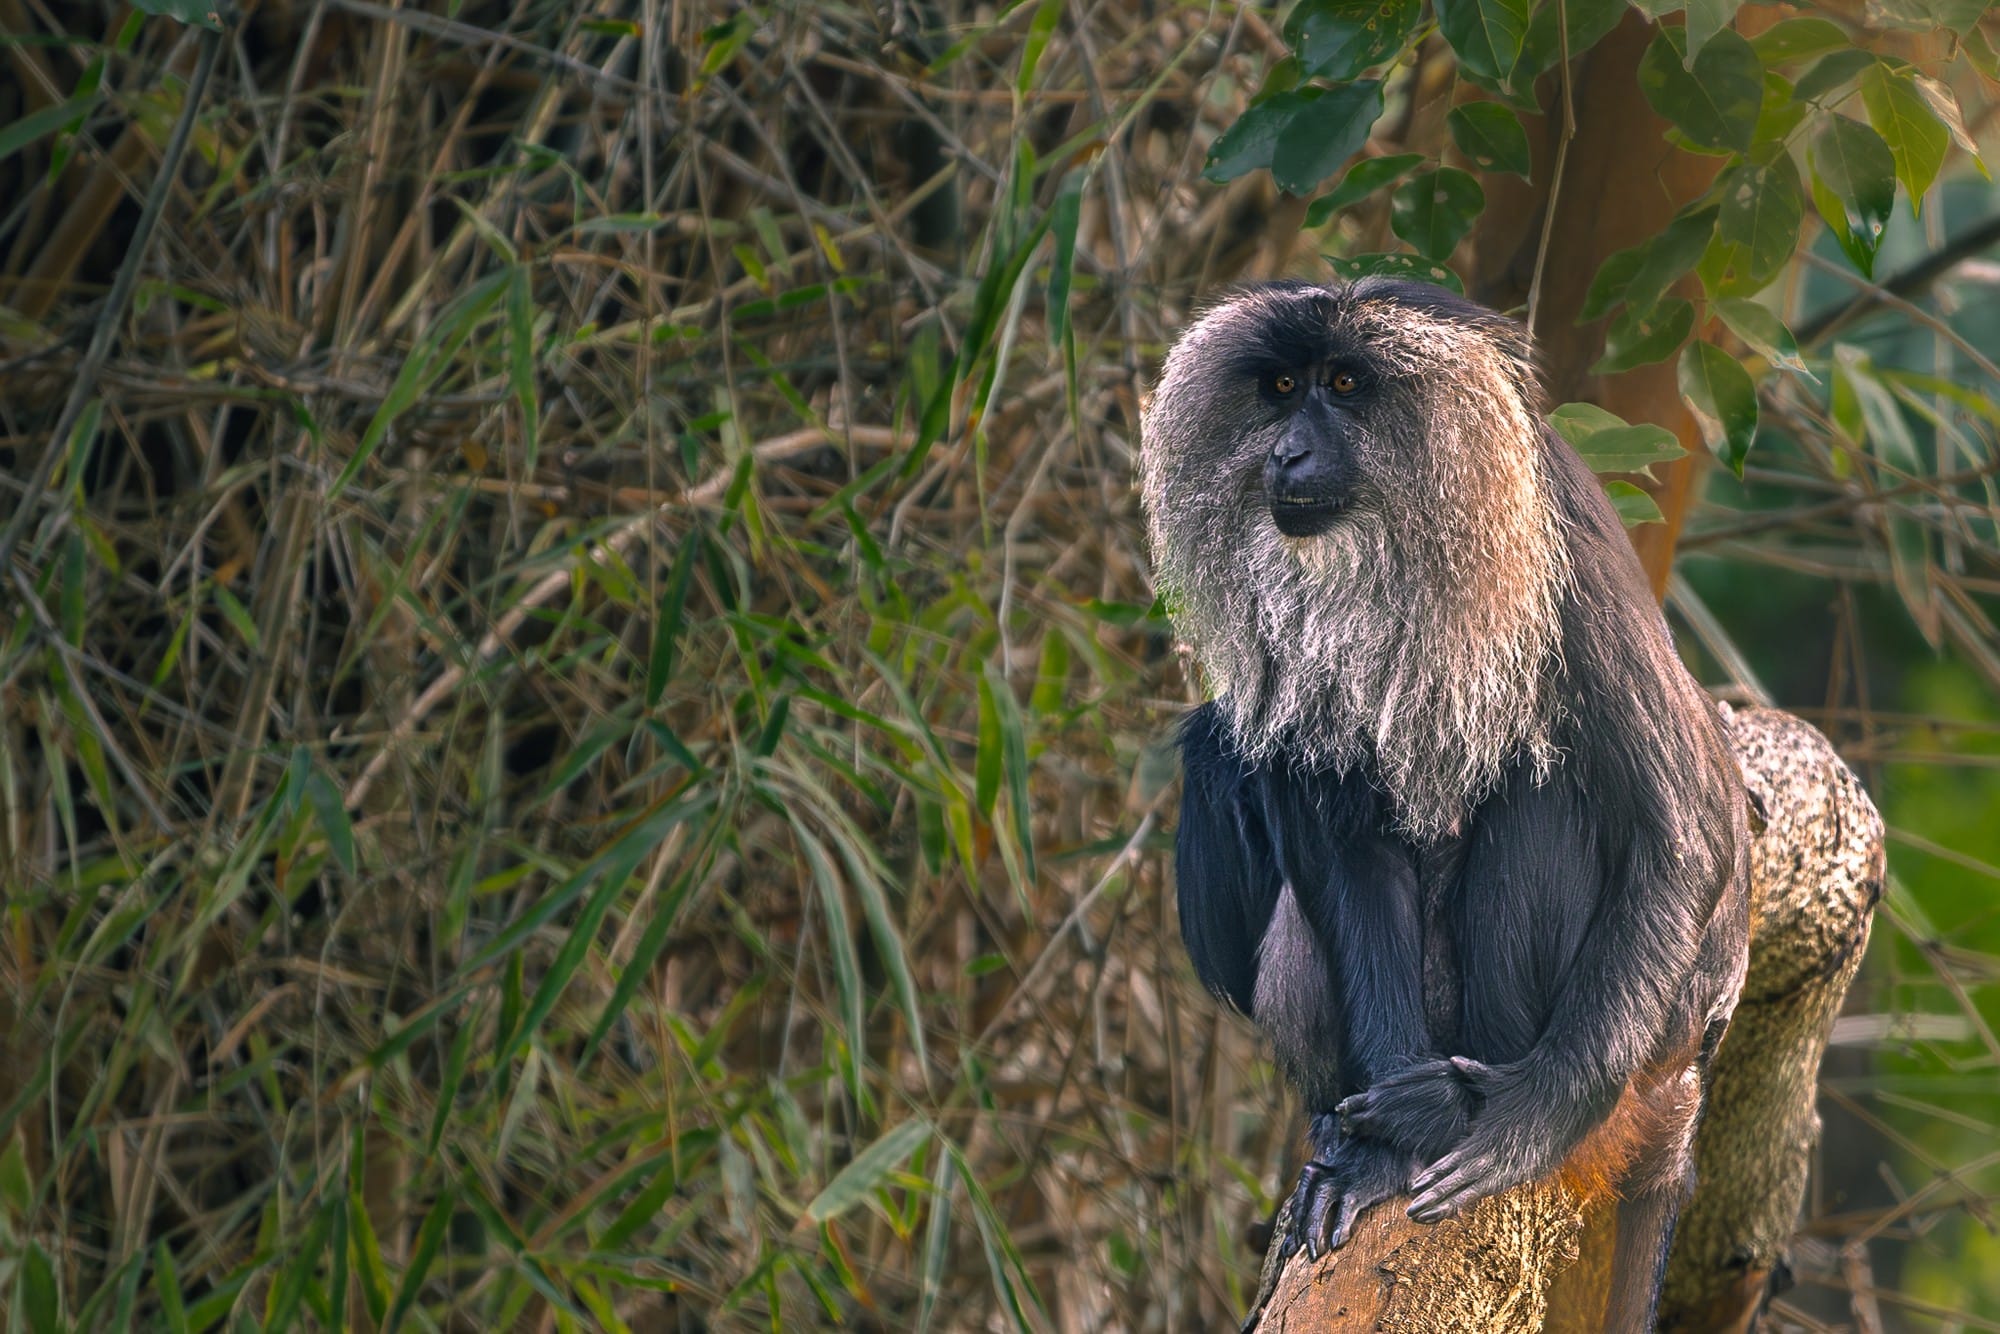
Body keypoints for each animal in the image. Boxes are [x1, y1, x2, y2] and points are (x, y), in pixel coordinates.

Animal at [1139, 279, 1751, 1331]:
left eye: (1345, 386)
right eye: (1282, 389)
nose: (1285, 453)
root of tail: (1677, 1077)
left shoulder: (1565, 550)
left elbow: (1687, 824)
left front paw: (1516, 1126)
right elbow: (1345, 850)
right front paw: (1377, 1156)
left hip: (1623, 1053)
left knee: (1550, 797)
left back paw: (1462, 1108)